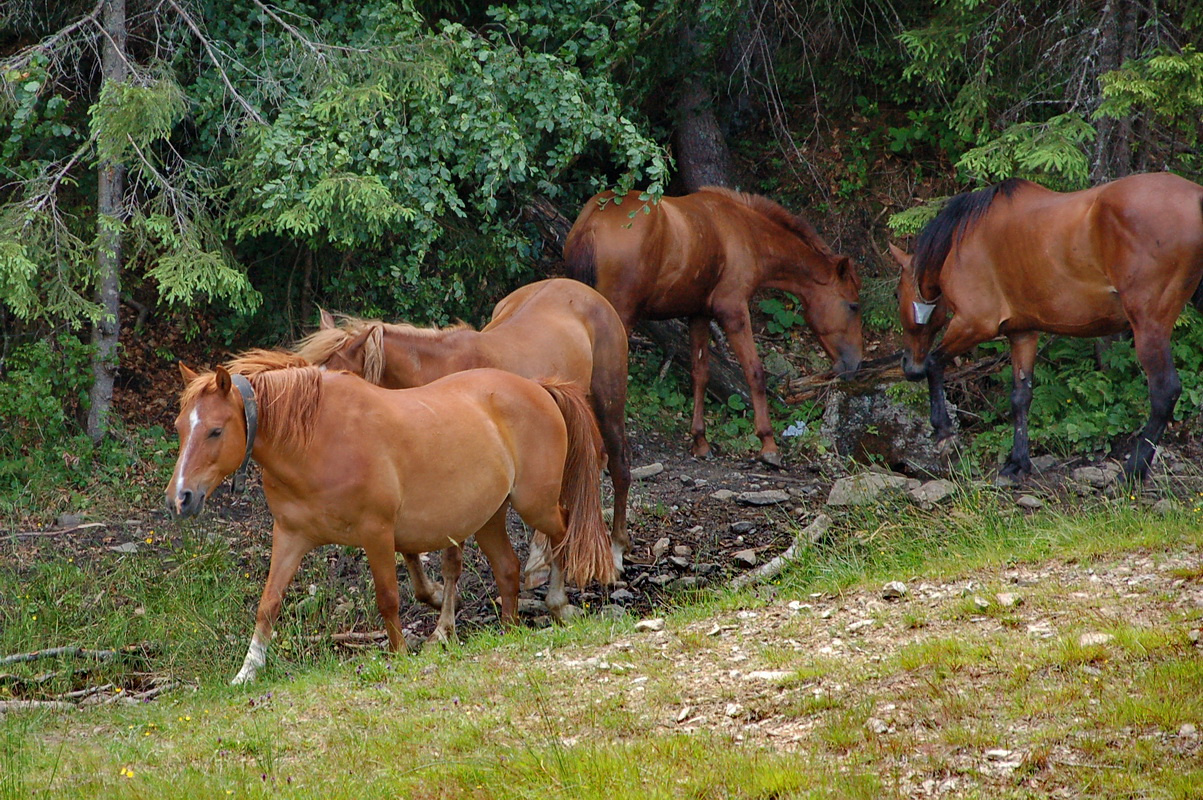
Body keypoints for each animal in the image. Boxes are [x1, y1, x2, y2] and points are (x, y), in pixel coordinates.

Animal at [166, 353, 615, 683]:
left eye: (215, 431)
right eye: (179, 427)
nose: (180, 498)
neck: (318, 440)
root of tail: (537, 387)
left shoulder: (377, 533)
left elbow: (388, 598)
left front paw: (399, 654)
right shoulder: (290, 536)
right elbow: (268, 604)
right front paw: (247, 672)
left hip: (534, 502)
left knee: (564, 532)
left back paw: (558, 604)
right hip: (489, 516)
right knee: (507, 568)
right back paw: (508, 630)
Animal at [565, 185, 866, 464]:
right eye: (853, 305)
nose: (855, 364)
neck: (745, 231)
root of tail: (593, 221)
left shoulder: (699, 315)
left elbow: (701, 374)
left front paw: (700, 440)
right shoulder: (733, 312)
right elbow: (755, 373)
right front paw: (768, 443)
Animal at [890, 170, 1203, 476]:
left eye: (897, 294)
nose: (907, 365)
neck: (964, 241)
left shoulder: (974, 323)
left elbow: (935, 362)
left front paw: (942, 428)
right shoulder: (1022, 333)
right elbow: (1020, 397)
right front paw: (1018, 463)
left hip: (1149, 325)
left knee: (1164, 392)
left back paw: (1133, 469)